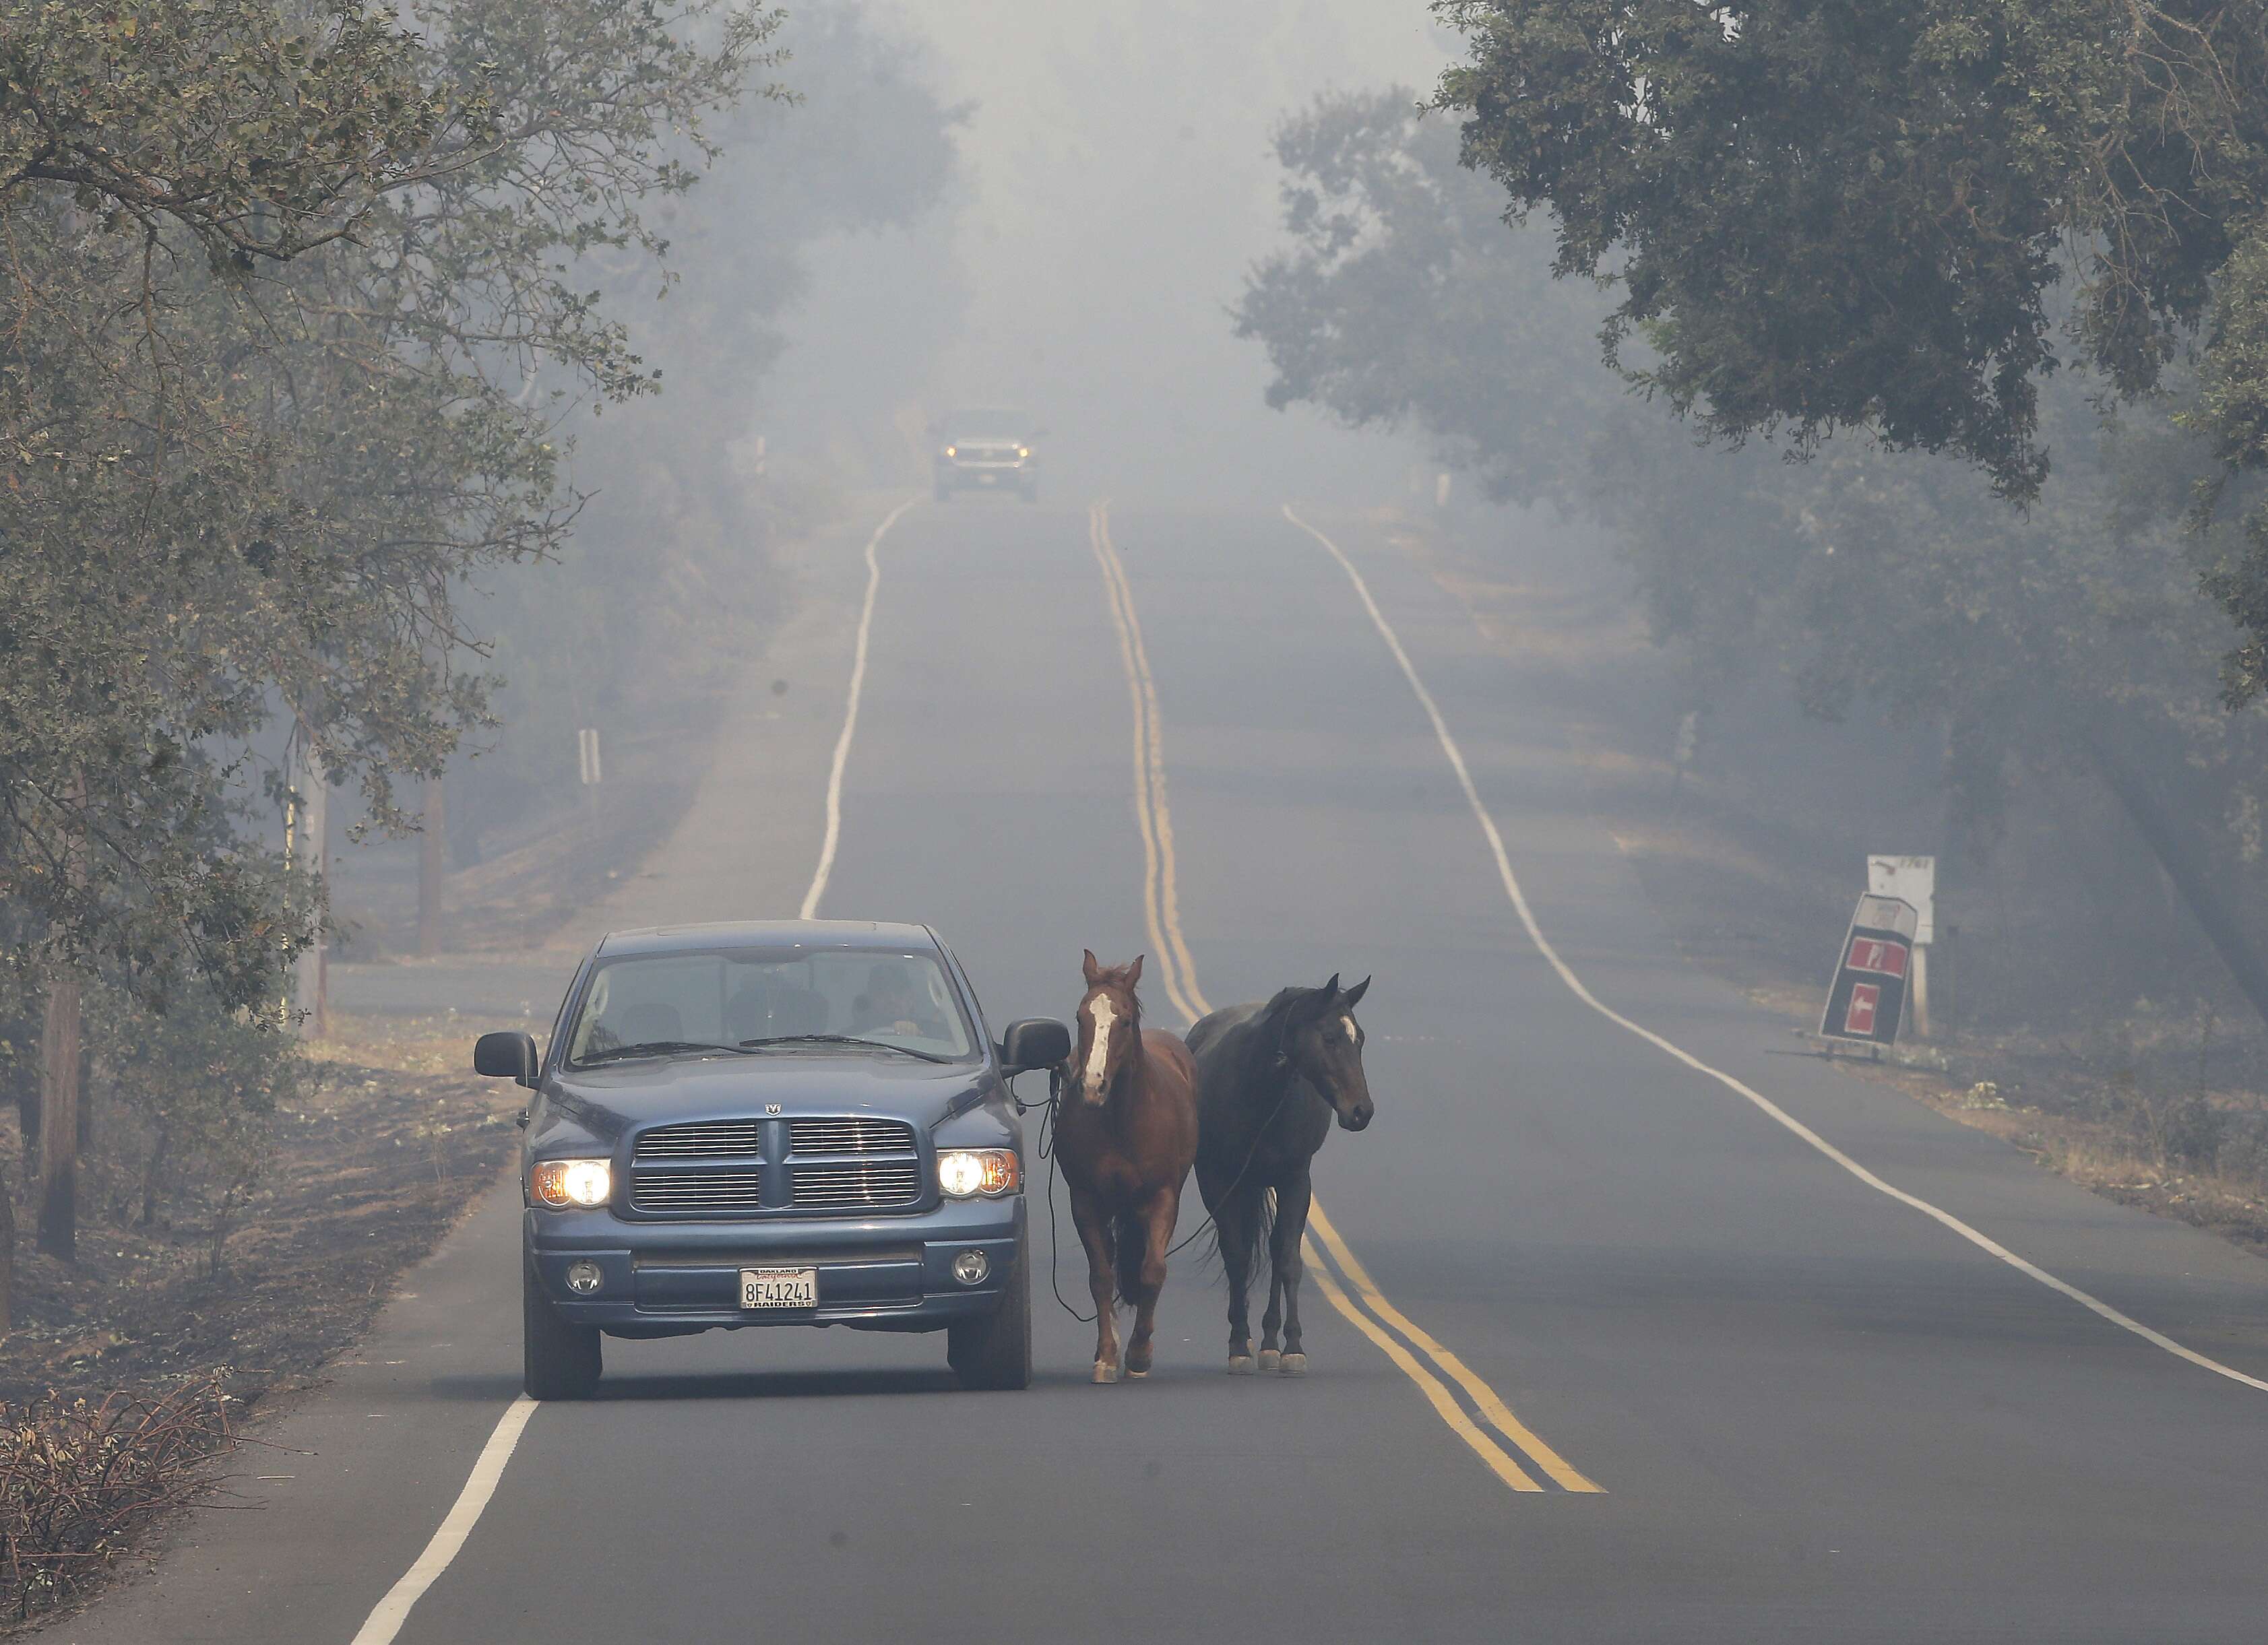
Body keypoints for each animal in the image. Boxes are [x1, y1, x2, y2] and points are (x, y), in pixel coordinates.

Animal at [1057, 944, 1206, 1379]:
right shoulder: (1086, 1202)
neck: (1123, 1122)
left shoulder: (1163, 1199)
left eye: (1124, 1020)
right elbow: (1102, 1277)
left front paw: (1140, 1354)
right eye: (1081, 1017)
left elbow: (1152, 1272)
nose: (1093, 1086)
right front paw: (1107, 1356)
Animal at [1197, 975, 1370, 1370]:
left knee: (1277, 1250)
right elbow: (1237, 1255)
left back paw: (1270, 1341)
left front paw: (1292, 1345)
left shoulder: (1295, 1179)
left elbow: (1288, 1257)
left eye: (1361, 1039)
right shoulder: (1218, 1180)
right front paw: (1238, 1343)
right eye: (1329, 1038)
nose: (1362, 1111)